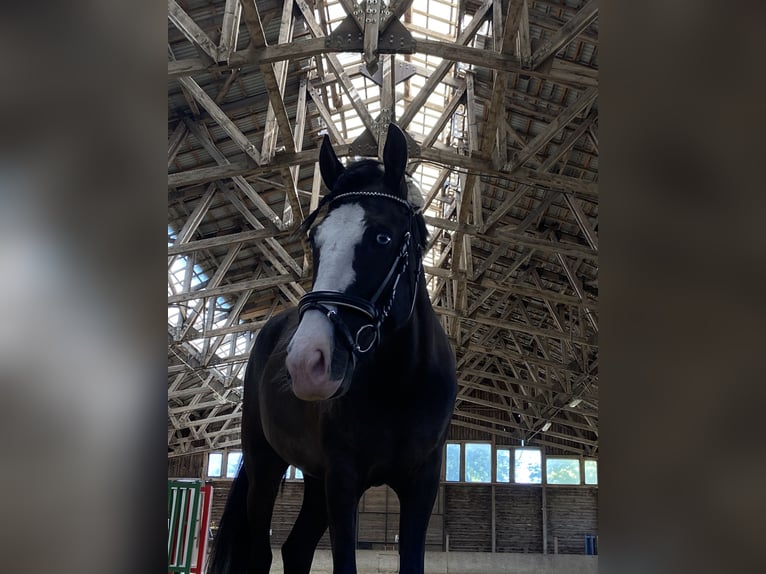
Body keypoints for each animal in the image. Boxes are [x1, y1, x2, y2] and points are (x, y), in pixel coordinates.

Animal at [208, 124, 457, 574]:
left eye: (382, 236)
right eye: (315, 239)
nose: (307, 362)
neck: (399, 384)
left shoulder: (422, 482)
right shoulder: (343, 479)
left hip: (314, 478)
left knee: (296, 548)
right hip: (265, 464)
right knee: (261, 553)